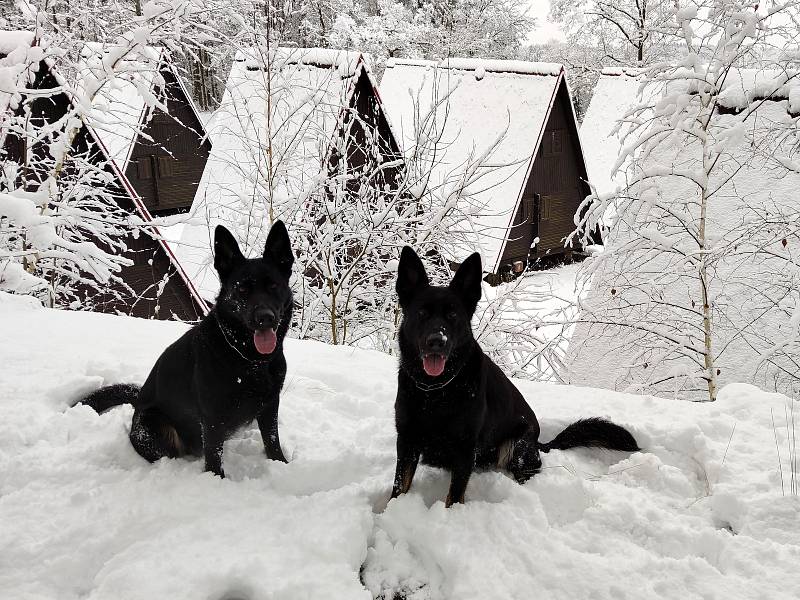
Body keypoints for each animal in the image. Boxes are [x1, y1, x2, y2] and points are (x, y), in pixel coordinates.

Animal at [79, 220, 294, 478]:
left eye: (273, 286)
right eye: (242, 289)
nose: (265, 318)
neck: (249, 360)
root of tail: (138, 401)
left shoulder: (270, 406)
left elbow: (272, 441)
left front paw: (282, 466)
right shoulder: (212, 420)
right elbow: (214, 459)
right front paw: (217, 482)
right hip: (153, 426)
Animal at [390, 247, 636, 506]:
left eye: (453, 315)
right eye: (422, 313)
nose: (437, 341)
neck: (436, 390)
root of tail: (538, 442)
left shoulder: (465, 448)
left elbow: (454, 496)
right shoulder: (406, 442)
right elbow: (398, 487)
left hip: (516, 446)